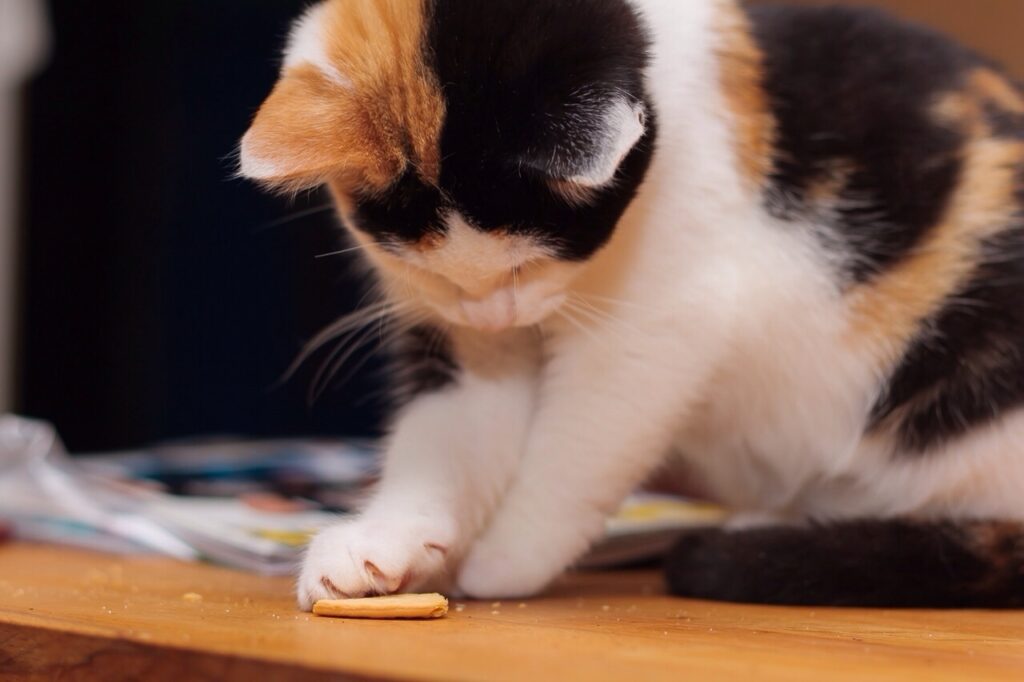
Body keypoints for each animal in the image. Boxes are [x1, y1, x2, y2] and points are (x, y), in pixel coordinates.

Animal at [237, 0, 1024, 606]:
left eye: (530, 259)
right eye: (437, 278)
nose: (494, 314)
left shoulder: (659, 319)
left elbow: (582, 444)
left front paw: (503, 561)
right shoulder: (458, 338)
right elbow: (449, 434)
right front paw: (383, 544)